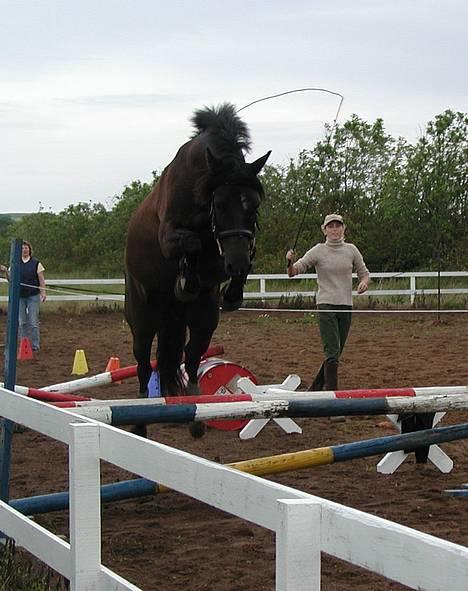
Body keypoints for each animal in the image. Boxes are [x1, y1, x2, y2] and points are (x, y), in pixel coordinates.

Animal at [124, 103, 270, 434]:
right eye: (221, 203)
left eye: (254, 204)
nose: (236, 262)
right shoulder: (172, 236)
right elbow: (188, 243)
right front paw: (186, 280)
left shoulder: (223, 256)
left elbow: (239, 259)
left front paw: (233, 293)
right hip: (144, 319)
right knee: (143, 364)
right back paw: (139, 421)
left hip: (200, 319)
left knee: (190, 357)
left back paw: (194, 408)